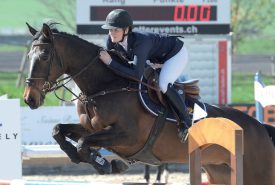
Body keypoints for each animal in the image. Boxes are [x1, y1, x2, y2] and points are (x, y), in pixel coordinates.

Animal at [24, 23, 275, 185]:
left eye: (44, 56)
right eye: (28, 57)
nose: (29, 98)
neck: (104, 86)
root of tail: (260, 128)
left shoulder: (128, 136)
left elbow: (83, 143)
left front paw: (107, 164)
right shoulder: (92, 128)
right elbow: (60, 131)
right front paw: (89, 159)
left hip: (257, 175)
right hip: (220, 173)